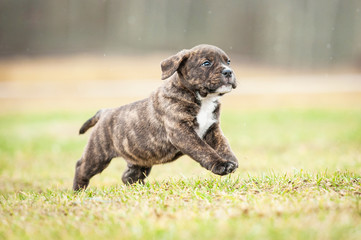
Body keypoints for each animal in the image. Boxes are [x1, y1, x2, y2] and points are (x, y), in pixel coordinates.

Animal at [71, 44, 238, 191]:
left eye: (228, 61)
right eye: (206, 63)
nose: (228, 72)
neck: (203, 99)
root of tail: (105, 112)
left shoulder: (212, 129)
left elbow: (223, 144)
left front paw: (230, 160)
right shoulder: (182, 132)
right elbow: (203, 149)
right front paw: (220, 165)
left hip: (140, 159)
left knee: (128, 176)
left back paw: (140, 189)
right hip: (98, 154)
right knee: (82, 167)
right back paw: (78, 190)